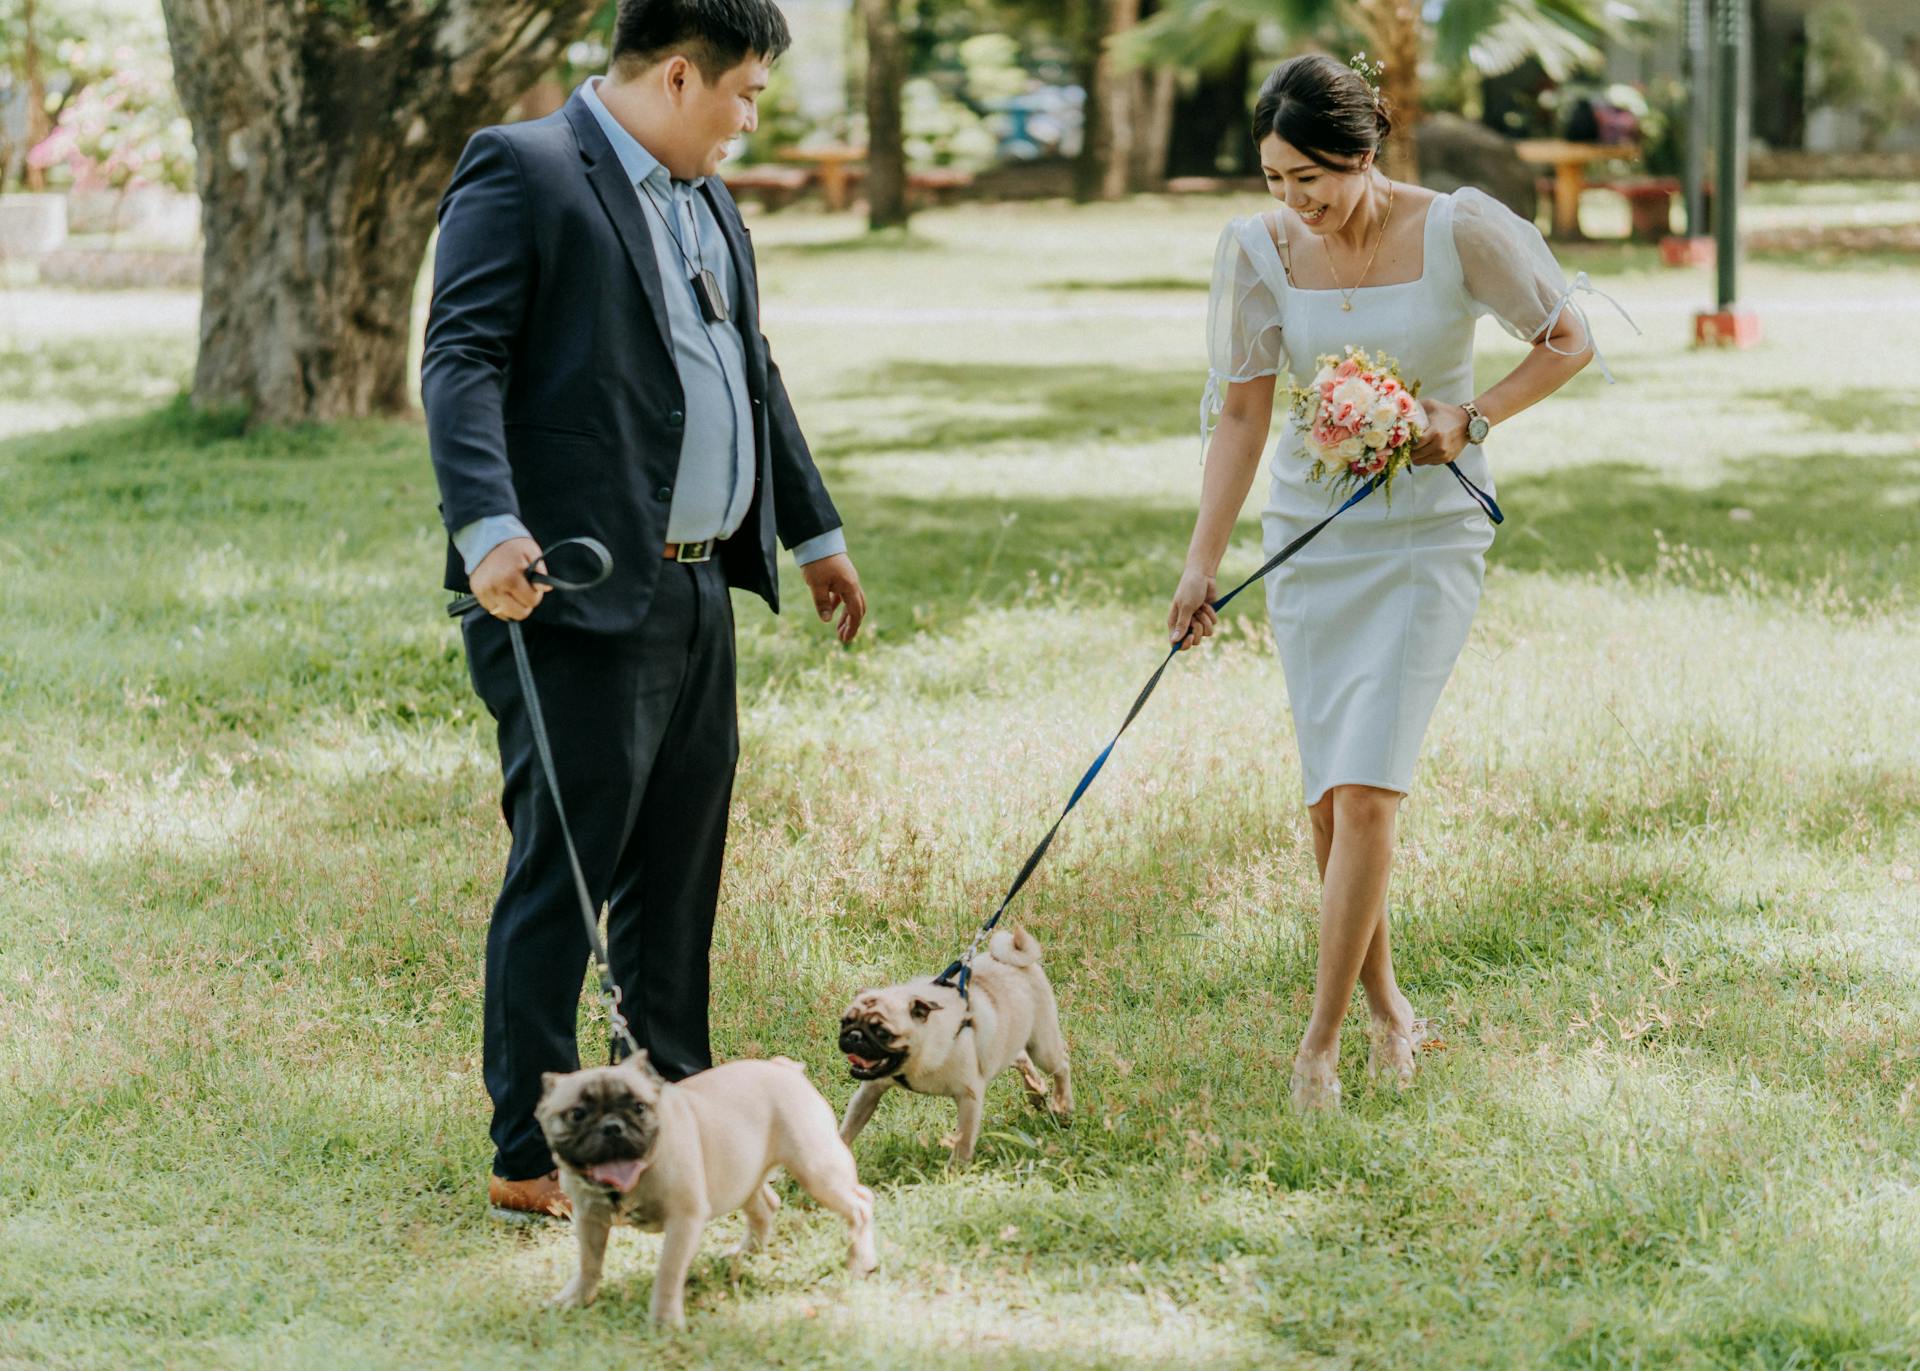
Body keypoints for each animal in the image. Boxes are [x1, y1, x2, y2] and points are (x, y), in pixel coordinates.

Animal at [533, 1044, 879, 1321]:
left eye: (639, 1107)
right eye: (577, 1114)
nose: (612, 1127)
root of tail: (784, 1068)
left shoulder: (683, 1221)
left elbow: (668, 1273)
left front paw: (664, 1321)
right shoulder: (589, 1220)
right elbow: (588, 1263)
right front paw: (575, 1298)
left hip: (816, 1169)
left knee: (859, 1205)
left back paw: (859, 1263)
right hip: (742, 1174)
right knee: (765, 1207)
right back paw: (744, 1254)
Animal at [837, 917, 1075, 1167]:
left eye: (883, 1033)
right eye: (845, 1022)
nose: (854, 1036)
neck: (919, 1055)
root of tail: (1014, 957)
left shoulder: (969, 1096)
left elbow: (963, 1140)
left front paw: (954, 1170)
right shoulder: (869, 1092)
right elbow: (848, 1128)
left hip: (1042, 1047)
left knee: (1061, 1066)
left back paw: (1062, 1105)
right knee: (1020, 1057)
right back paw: (1035, 1091)